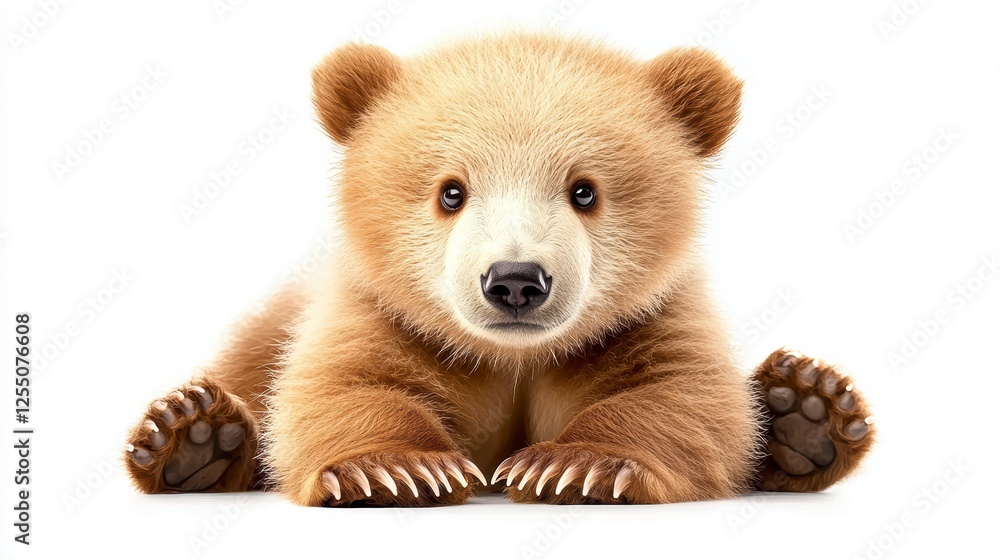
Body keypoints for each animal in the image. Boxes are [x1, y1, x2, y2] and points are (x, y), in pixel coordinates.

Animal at [123, 33, 874, 506]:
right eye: (451, 191)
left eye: (584, 190)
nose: (515, 280)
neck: (514, 355)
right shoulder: (383, 308)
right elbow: (339, 388)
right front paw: (393, 471)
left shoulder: (647, 314)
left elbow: (685, 396)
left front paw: (573, 466)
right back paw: (191, 438)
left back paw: (806, 410)